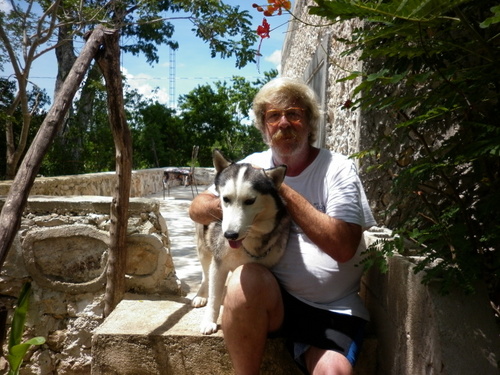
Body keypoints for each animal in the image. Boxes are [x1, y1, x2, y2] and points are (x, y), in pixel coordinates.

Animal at [192, 150, 292, 334]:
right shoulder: (218, 264)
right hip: (203, 250)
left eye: (250, 201)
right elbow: (214, 296)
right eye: (226, 199)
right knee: (205, 275)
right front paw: (209, 321)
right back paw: (201, 295)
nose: (230, 235)